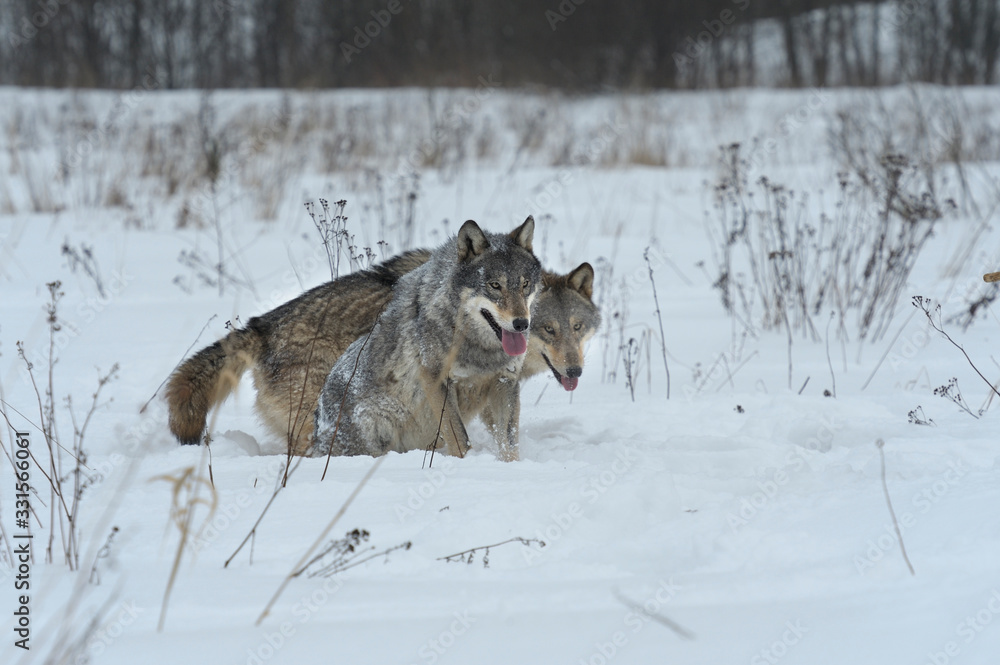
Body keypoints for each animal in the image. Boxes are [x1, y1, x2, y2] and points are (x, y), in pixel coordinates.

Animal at [312, 217, 542, 462]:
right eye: (495, 285)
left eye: (525, 284)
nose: (521, 323)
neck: (481, 349)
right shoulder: (436, 380)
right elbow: (461, 441)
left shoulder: (505, 382)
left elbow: (509, 443)